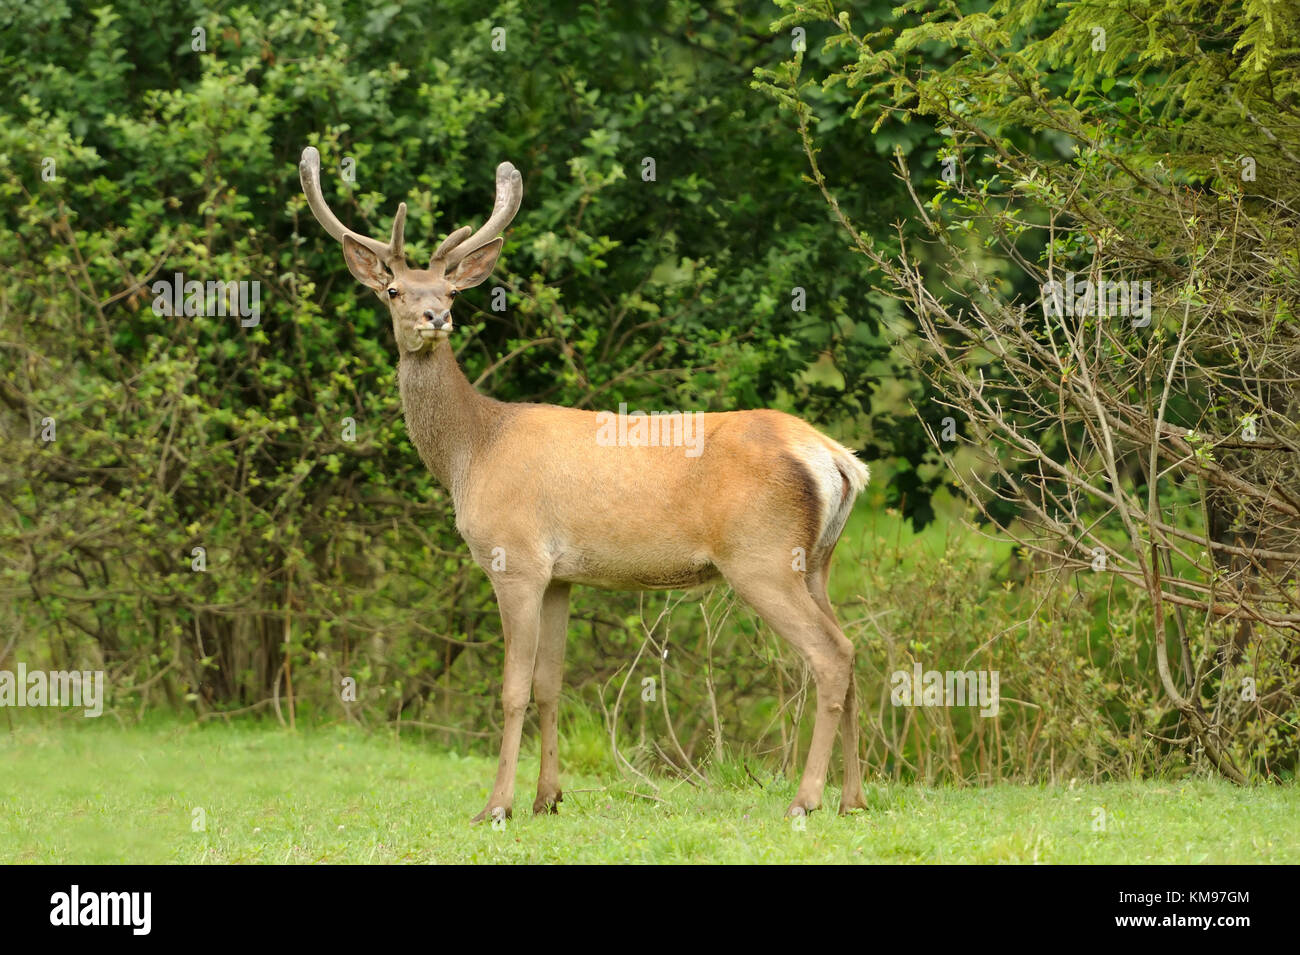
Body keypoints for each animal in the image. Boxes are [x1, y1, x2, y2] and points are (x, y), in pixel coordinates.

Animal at [301, 147, 873, 821]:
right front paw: (548, 798)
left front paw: (496, 806)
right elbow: (551, 684)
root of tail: (838, 459)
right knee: (852, 648)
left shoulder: (515, 557)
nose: (434, 317)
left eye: (449, 290)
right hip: (817, 561)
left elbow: (513, 688)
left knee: (830, 655)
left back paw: (805, 800)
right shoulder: (561, 577)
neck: (472, 450)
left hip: (761, 555)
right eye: (394, 290)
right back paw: (853, 799)